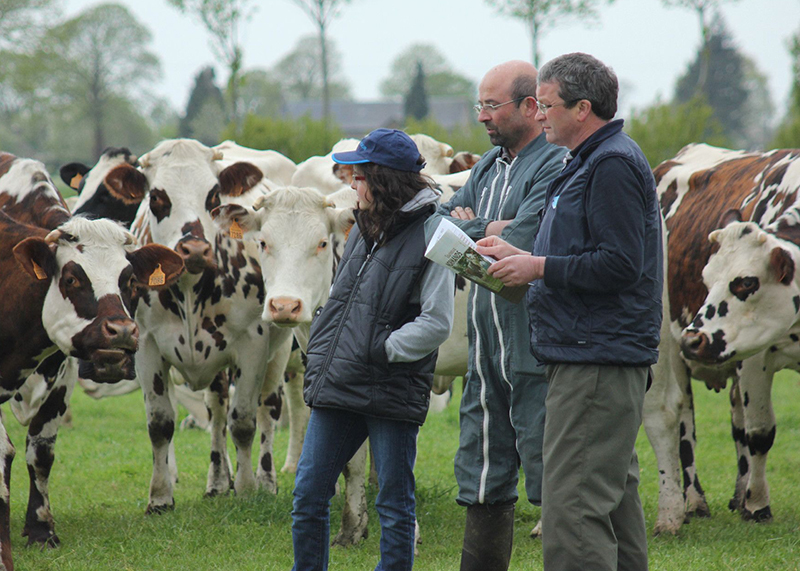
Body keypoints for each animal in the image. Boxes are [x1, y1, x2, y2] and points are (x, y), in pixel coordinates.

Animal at [0, 150, 183, 568]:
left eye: (130, 281)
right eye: (71, 279)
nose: (121, 332)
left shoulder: (63, 372)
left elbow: (41, 450)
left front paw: (41, 529)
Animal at [644, 143, 800, 536]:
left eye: (746, 282)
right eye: (706, 278)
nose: (694, 339)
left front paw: (749, 500)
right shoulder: (754, 358)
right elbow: (761, 432)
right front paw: (759, 505)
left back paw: (738, 495)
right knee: (684, 424)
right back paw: (694, 501)